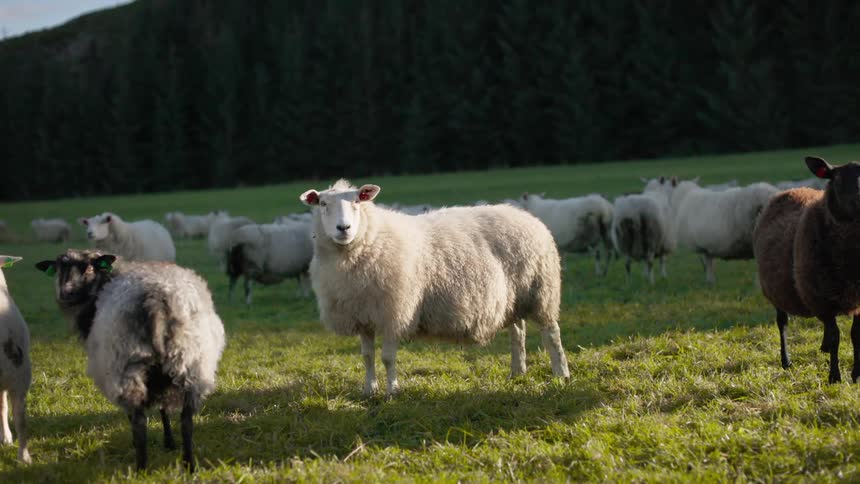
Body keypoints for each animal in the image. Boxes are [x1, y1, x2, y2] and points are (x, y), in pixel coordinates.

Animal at [35, 250, 225, 471]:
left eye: (89, 268)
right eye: (58, 269)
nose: (66, 293)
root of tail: (156, 298)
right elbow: (164, 410)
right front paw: (169, 442)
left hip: (125, 364)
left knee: (138, 421)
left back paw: (141, 467)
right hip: (191, 362)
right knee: (186, 421)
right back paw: (189, 465)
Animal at [300, 179, 570, 397]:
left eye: (357, 201)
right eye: (322, 203)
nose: (343, 228)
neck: (372, 238)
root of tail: (525, 215)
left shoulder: (394, 312)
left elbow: (387, 358)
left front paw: (392, 391)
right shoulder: (363, 314)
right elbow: (367, 357)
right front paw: (369, 391)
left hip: (540, 290)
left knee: (551, 333)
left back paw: (561, 375)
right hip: (514, 297)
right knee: (518, 331)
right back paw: (517, 372)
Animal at [753, 157, 860, 383]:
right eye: (837, 179)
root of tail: (791, 190)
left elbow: (855, 335)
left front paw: (856, 375)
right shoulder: (821, 299)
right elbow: (836, 337)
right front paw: (834, 377)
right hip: (776, 292)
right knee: (782, 323)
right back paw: (786, 361)